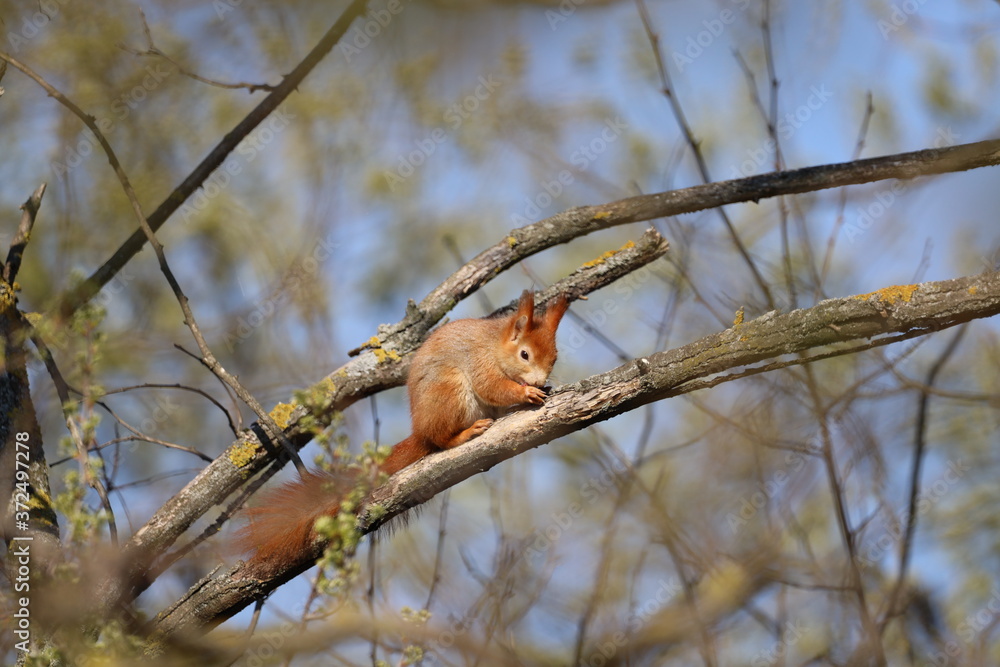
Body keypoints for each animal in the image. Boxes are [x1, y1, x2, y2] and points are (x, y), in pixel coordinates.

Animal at [237, 290, 569, 576]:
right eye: (525, 354)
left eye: (554, 358)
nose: (538, 381)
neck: (495, 344)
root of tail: (420, 430)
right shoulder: (480, 362)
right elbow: (492, 387)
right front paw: (525, 392)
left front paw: (541, 388)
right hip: (450, 392)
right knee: (440, 439)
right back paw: (465, 433)